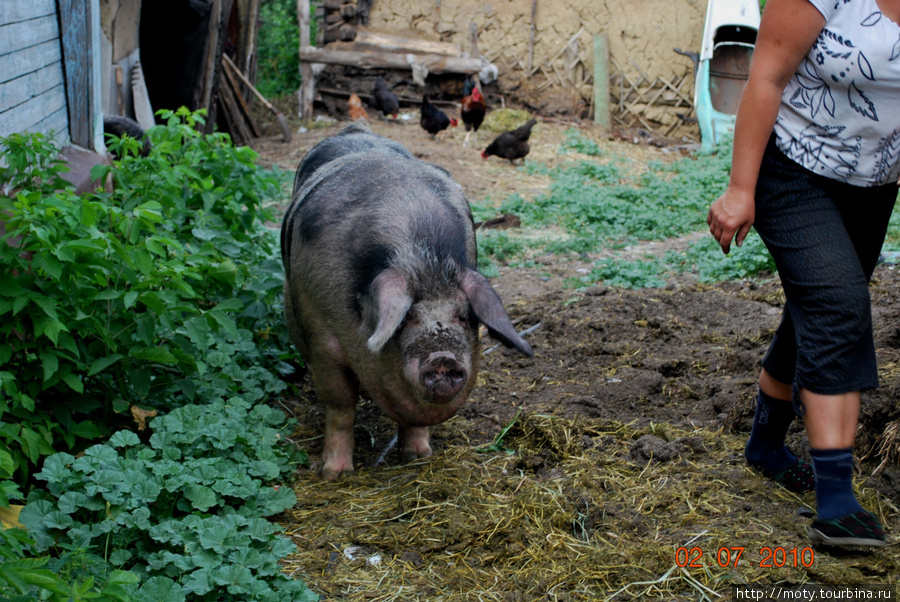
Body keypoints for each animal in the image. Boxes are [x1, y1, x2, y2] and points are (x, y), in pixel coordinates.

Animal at [282, 122, 532, 478]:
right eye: (408, 318)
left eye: (461, 316)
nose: (443, 357)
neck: (423, 260)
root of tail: (353, 128)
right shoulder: (322, 340)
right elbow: (340, 405)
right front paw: (334, 474)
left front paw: (419, 456)